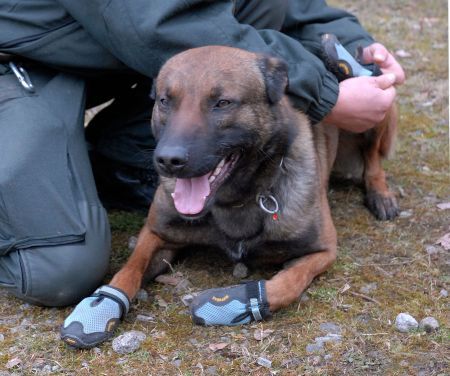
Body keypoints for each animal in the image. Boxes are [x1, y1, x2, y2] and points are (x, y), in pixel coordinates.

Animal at [95, 45, 398, 334]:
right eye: (165, 101)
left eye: (223, 103)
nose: (168, 160)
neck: (234, 200)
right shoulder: (156, 233)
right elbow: (129, 270)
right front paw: (100, 307)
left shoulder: (322, 251)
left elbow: (288, 283)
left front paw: (235, 303)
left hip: (378, 108)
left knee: (372, 158)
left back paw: (380, 194)